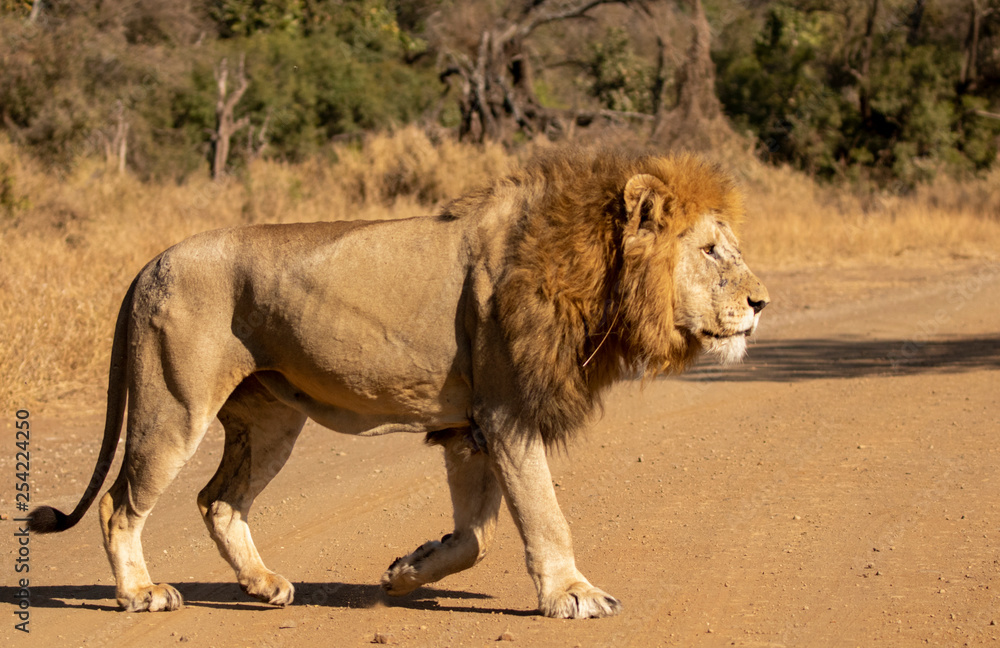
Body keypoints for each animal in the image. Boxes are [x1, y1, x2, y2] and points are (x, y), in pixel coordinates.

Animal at [29, 149, 768, 619]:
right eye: (710, 251)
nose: (762, 303)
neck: (586, 268)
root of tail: (150, 262)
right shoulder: (506, 413)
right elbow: (543, 514)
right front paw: (573, 595)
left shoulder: (468, 429)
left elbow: (476, 538)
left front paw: (409, 569)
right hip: (173, 407)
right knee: (118, 504)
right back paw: (140, 594)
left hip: (270, 421)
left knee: (219, 501)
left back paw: (263, 585)